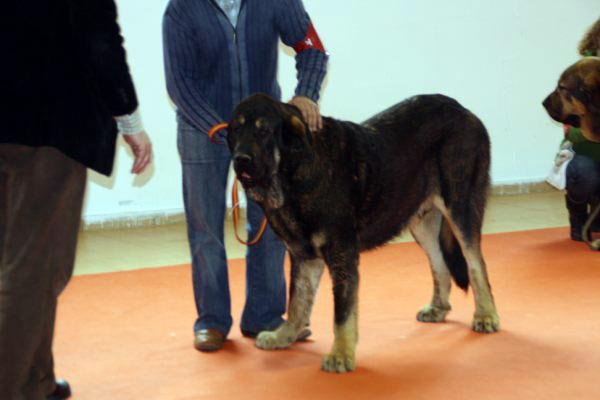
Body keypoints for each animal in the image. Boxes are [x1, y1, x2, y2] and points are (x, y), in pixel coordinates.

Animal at [227, 93, 500, 372]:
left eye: (264, 131)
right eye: (236, 129)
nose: (241, 159)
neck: (294, 172)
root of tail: (462, 109)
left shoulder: (342, 255)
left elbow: (342, 313)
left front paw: (341, 355)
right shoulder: (304, 256)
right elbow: (297, 301)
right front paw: (285, 336)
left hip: (460, 207)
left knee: (476, 263)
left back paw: (486, 315)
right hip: (420, 220)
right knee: (439, 263)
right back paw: (438, 307)